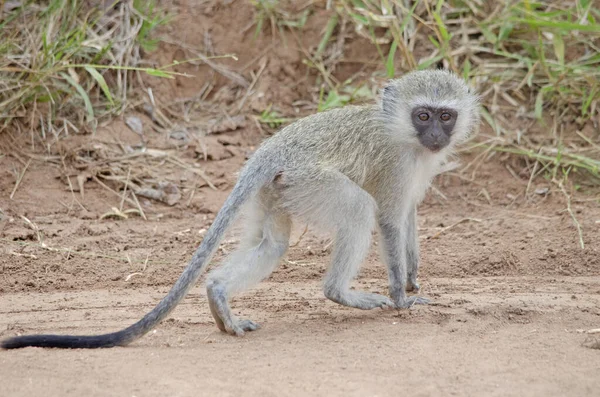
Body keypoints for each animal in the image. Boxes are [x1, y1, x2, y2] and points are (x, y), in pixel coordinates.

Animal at [0, 69, 478, 348]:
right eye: (423, 115)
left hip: (279, 190)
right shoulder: (395, 163)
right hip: (310, 181)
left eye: (445, 115)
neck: (405, 136)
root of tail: (270, 151)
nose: (436, 136)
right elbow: (389, 219)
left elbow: (409, 218)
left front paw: (413, 279)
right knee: (359, 209)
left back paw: (218, 295)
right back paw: (340, 294)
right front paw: (401, 296)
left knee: (272, 243)